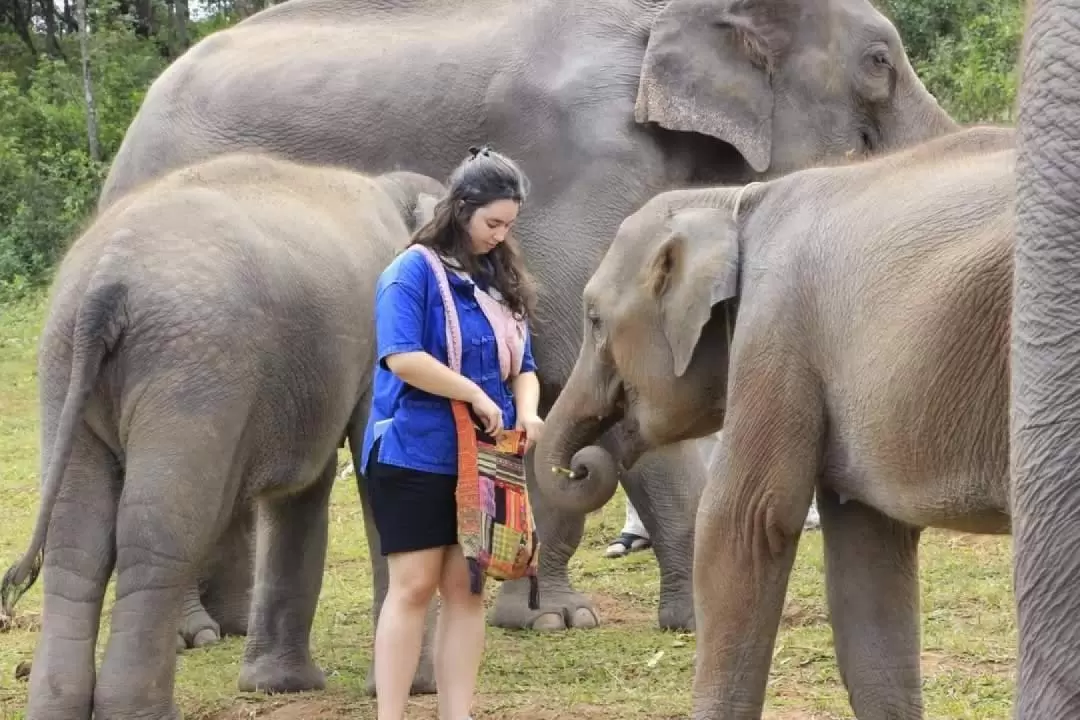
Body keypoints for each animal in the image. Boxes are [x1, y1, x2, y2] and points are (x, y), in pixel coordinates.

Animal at [0, 153, 444, 720]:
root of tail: (105, 281)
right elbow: (376, 468)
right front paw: (417, 690)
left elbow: (302, 491)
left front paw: (278, 687)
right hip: (194, 368)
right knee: (159, 531)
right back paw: (143, 712)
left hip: (63, 364)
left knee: (75, 540)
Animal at [92, 0, 954, 669]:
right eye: (879, 60)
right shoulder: (585, 160)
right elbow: (590, 363)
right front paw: (599, 618)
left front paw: (586, 616)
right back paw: (192, 637)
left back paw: (225, 628)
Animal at [540, 125, 1019, 720]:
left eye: (595, 320)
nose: (582, 465)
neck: (733, 203)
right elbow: (867, 551)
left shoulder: (775, 331)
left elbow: (745, 522)